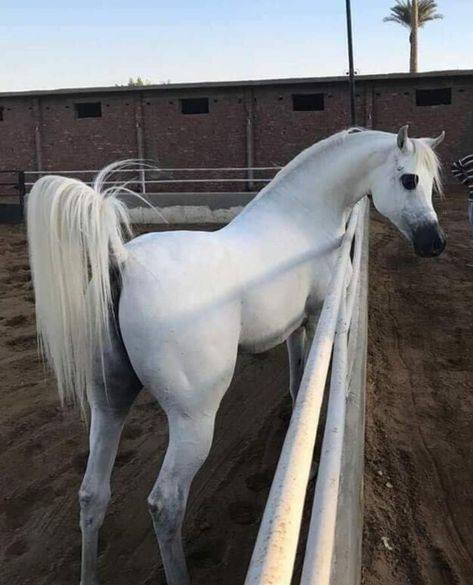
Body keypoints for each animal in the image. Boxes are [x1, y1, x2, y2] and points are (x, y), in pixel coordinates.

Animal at [27, 126, 444, 584]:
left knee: (92, 494)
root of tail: (123, 262)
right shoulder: (320, 319)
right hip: (193, 421)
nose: (434, 243)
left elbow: (298, 381)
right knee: (165, 503)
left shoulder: (296, 328)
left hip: (109, 402)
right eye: (409, 179)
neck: (302, 219)